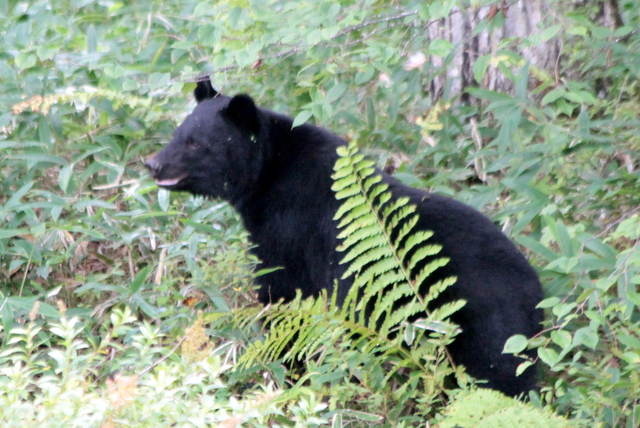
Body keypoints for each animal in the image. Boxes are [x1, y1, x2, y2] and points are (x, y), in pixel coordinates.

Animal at [146, 77, 544, 398]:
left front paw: (285, 366)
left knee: (497, 374)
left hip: (483, 323)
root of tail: (536, 296)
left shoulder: (290, 228)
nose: (152, 163)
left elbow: (284, 294)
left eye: (195, 143)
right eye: (177, 133)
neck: (268, 172)